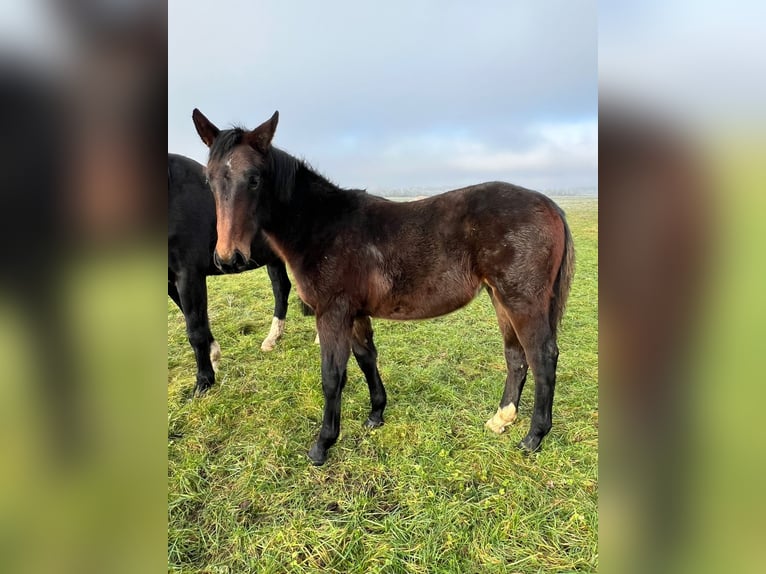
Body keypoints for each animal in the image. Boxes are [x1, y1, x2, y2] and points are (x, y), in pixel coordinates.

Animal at [170, 153, 310, 396]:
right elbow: (199, 321)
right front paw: (214, 357)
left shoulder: (188, 274)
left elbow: (195, 329)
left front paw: (203, 382)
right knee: (281, 289)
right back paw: (272, 339)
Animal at [192, 110, 576, 466]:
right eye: (209, 180)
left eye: (255, 179)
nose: (229, 257)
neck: (323, 227)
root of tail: (551, 205)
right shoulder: (355, 313)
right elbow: (366, 359)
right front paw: (376, 414)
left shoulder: (332, 313)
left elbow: (332, 375)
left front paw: (322, 444)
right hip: (500, 297)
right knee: (515, 356)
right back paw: (501, 419)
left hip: (521, 300)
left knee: (542, 357)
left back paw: (533, 437)